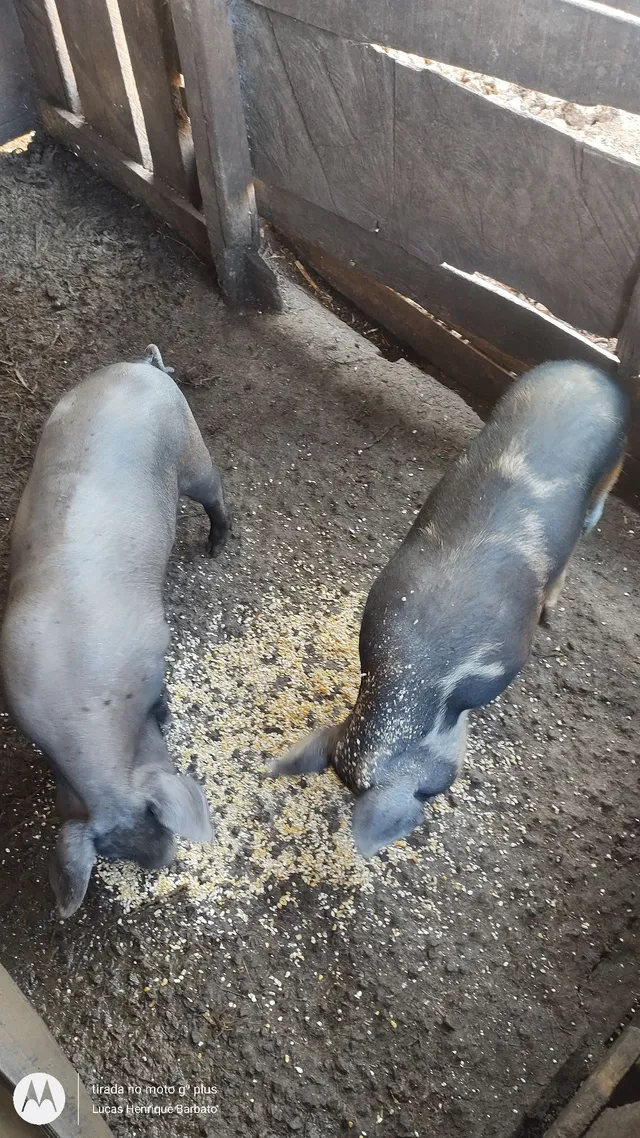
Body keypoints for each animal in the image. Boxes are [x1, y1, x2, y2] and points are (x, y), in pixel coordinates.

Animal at [0, 346, 229, 917]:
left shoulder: (155, 646)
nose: (165, 859)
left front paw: (167, 717)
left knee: (215, 492)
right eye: (118, 851)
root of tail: (142, 368)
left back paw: (216, 548)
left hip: (191, 447)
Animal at [271, 361, 629, 858]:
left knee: (583, 531)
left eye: (425, 791)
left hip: (610, 470)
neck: (423, 673)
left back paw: (552, 611)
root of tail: (589, 369)